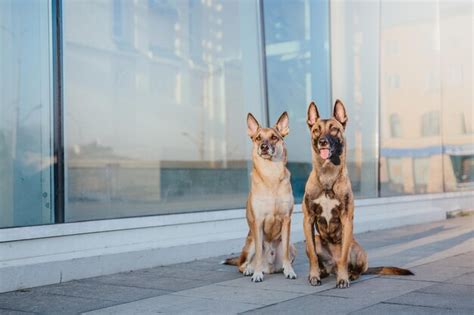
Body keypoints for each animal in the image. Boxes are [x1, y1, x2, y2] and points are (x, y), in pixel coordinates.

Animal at [225, 112, 296, 282]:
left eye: (274, 137)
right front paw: (257, 274)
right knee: (242, 263)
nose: (264, 146)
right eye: (258, 138)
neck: (271, 176)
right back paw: (250, 269)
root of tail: (269, 268)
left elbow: (285, 255)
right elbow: (258, 254)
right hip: (250, 243)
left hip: (292, 245)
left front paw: (289, 271)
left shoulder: (286, 220)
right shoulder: (258, 222)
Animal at [304, 100, 412, 288]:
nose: (323, 142)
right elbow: (313, 256)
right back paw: (324, 273)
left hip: (357, 248)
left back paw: (350, 275)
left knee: (355, 267)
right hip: (317, 239)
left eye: (334, 129)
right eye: (316, 130)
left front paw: (343, 279)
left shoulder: (346, 219)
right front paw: (314, 276)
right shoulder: (308, 220)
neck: (327, 177)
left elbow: (343, 258)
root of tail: (331, 266)